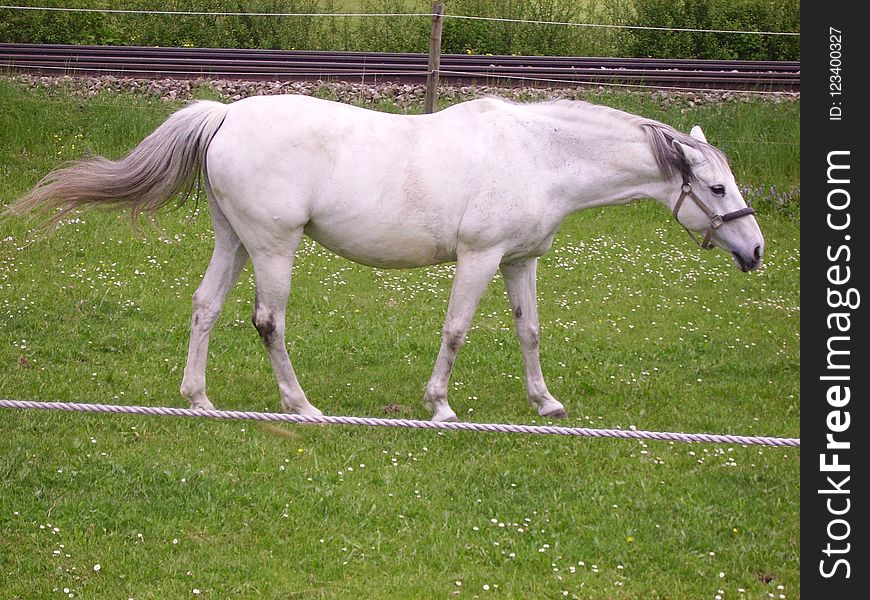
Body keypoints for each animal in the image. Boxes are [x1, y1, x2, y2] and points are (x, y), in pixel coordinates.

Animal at [11, 95, 764, 422]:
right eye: (717, 188)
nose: (755, 250)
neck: (537, 153)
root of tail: (226, 114)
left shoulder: (520, 262)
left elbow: (529, 332)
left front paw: (544, 402)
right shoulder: (479, 259)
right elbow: (456, 331)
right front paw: (440, 407)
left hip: (235, 241)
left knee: (206, 307)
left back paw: (199, 400)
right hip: (274, 248)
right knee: (267, 322)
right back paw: (301, 406)